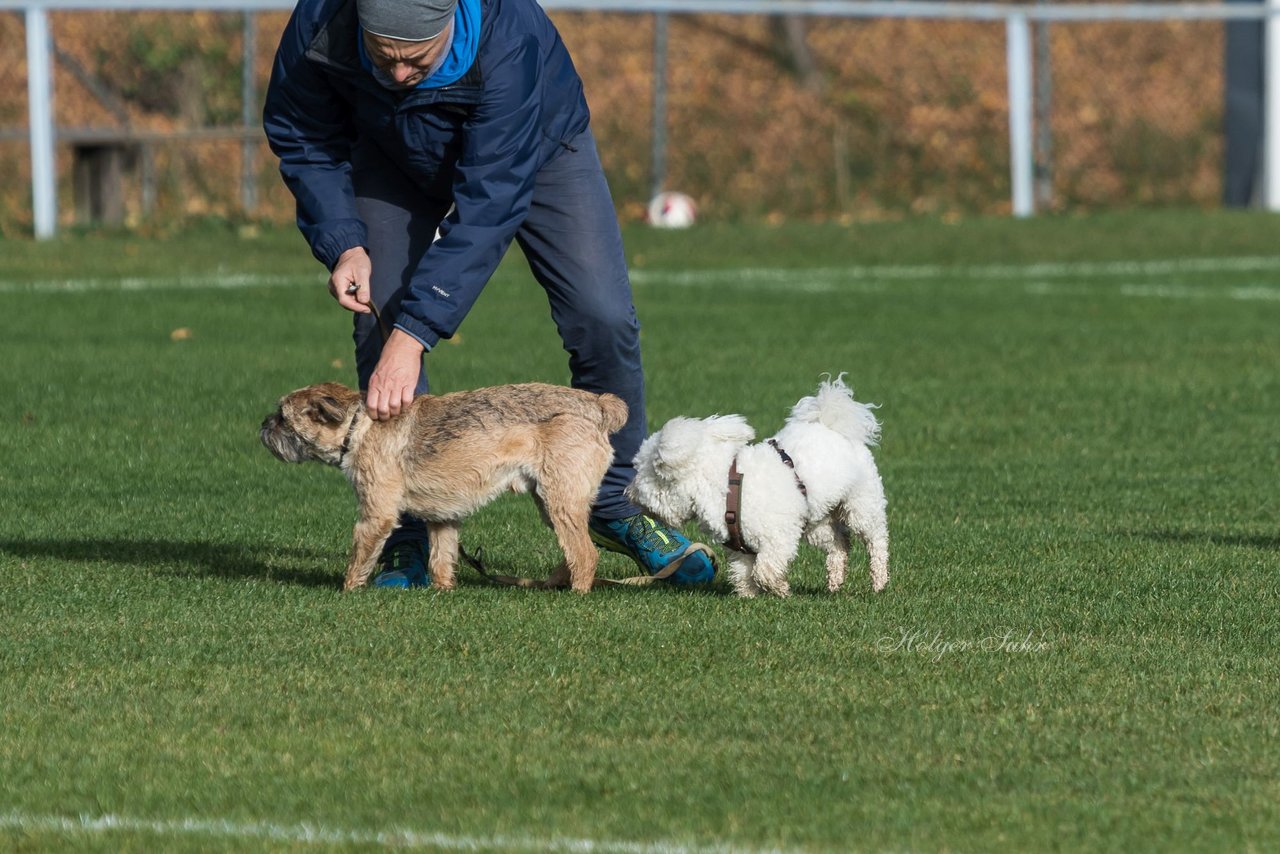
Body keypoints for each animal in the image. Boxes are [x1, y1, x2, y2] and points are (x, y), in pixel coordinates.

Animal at [257, 381, 627, 591]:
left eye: (283, 417)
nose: (263, 423)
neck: (357, 425)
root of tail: (597, 405)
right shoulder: (442, 517)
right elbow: (441, 556)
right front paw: (443, 589)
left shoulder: (376, 516)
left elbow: (360, 555)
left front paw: (348, 590)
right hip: (549, 501)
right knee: (574, 548)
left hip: (558, 498)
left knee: (585, 552)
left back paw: (577, 592)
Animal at [624, 376, 885, 599]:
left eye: (640, 474)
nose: (627, 493)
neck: (725, 485)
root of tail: (833, 425)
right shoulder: (740, 547)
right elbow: (743, 573)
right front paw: (749, 597)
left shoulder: (779, 538)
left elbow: (764, 571)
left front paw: (781, 590)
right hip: (818, 521)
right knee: (840, 543)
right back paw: (835, 581)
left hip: (862, 505)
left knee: (876, 540)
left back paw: (879, 582)